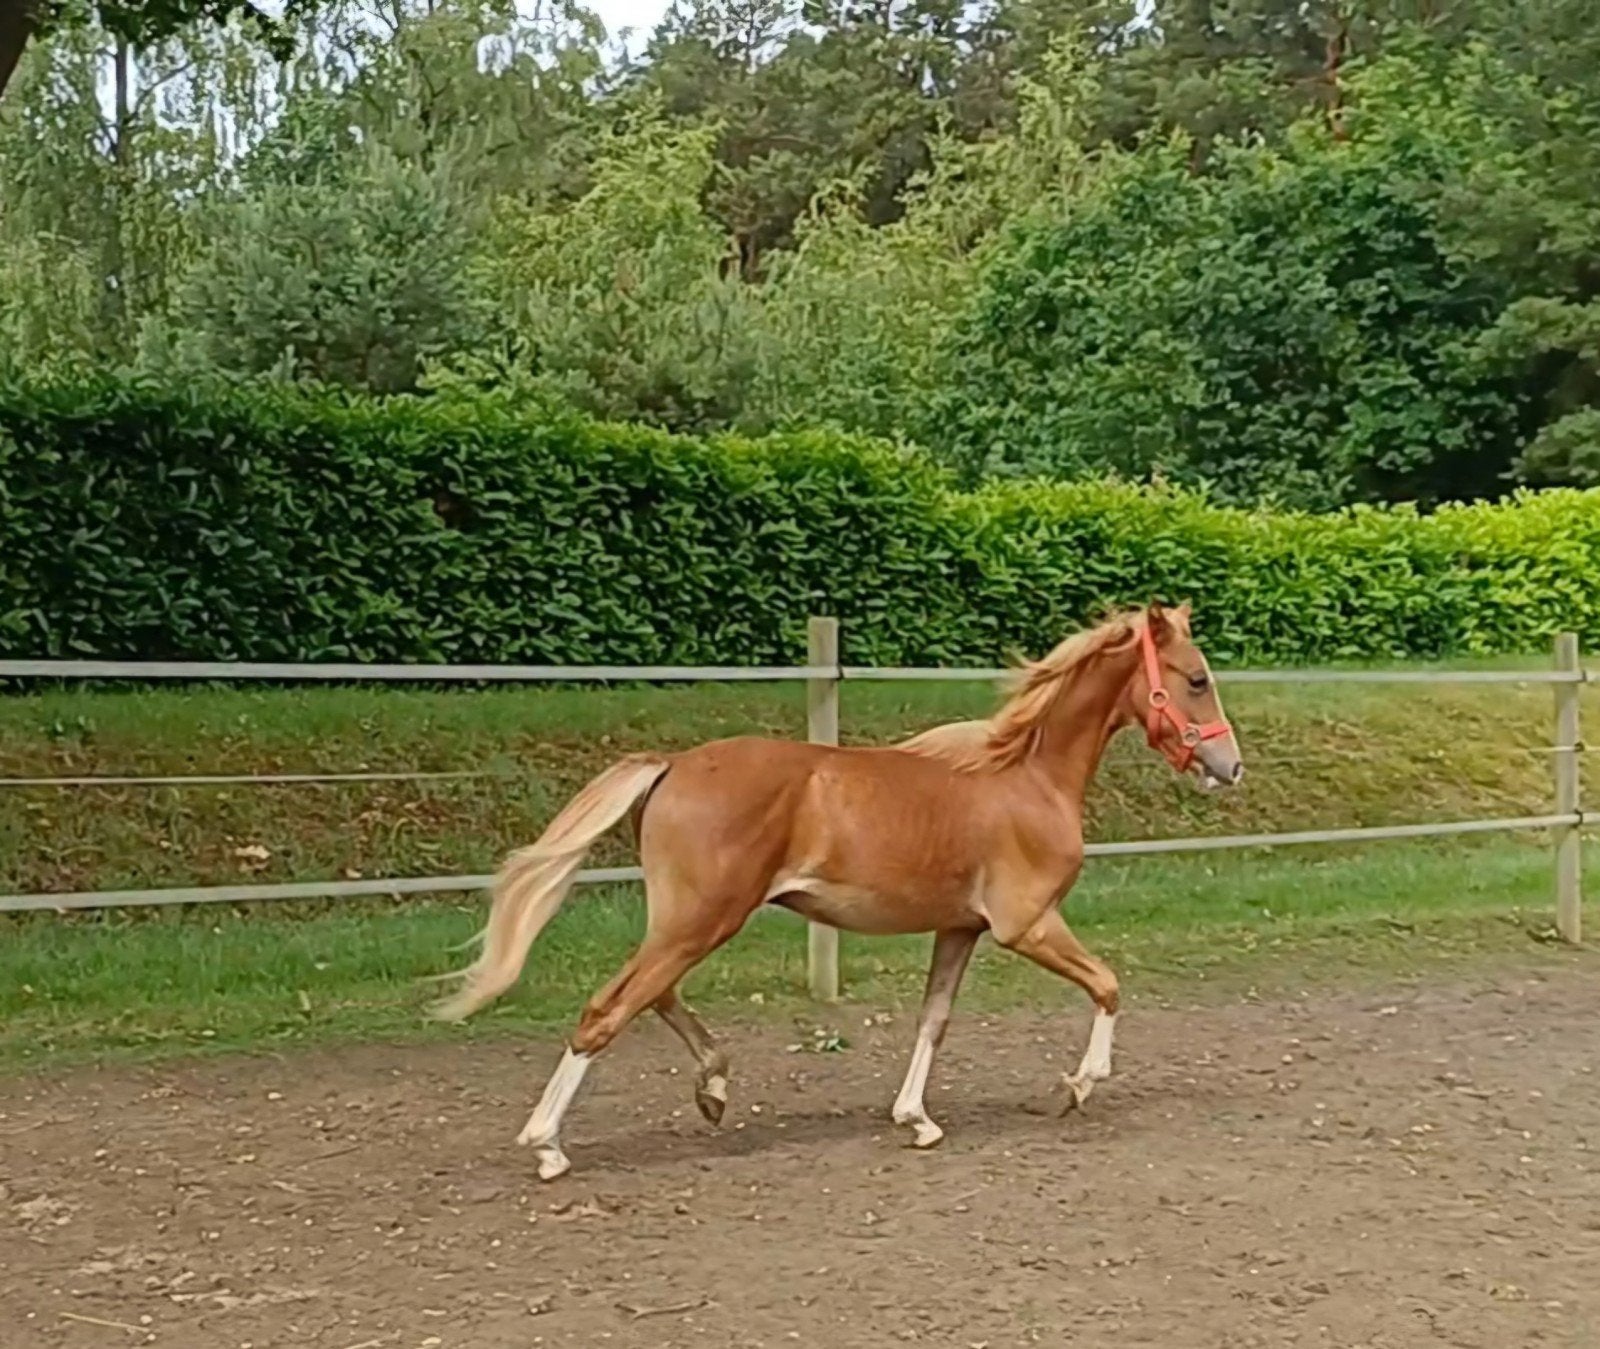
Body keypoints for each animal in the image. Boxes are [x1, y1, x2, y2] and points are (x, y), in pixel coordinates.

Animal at [432, 602, 1243, 1180]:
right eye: (1196, 678)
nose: (1230, 767)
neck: (1026, 776)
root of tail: (672, 765)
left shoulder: (961, 927)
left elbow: (933, 1019)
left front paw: (917, 1119)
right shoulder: (1028, 923)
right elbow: (1108, 984)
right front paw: (1076, 1086)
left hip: (687, 922)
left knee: (651, 995)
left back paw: (713, 1091)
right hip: (702, 920)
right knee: (608, 1009)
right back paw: (548, 1146)